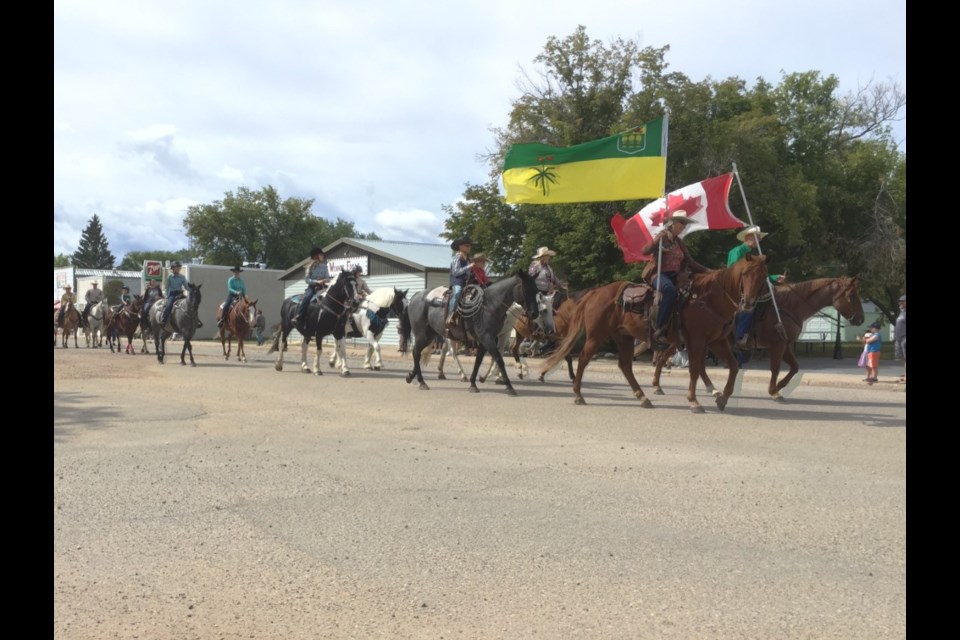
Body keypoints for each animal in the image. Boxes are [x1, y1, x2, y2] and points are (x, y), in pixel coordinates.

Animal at [544, 252, 768, 412]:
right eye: (745, 274)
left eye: (763, 277)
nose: (748, 303)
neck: (707, 298)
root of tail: (595, 292)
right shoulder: (697, 341)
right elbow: (695, 369)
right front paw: (694, 401)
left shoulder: (717, 342)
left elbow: (734, 367)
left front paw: (722, 398)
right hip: (596, 336)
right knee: (583, 358)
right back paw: (578, 395)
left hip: (623, 336)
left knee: (625, 365)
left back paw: (643, 397)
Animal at [648, 276, 868, 404]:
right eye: (852, 295)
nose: (860, 319)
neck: (789, 306)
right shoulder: (777, 345)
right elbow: (776, 368)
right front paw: (774, 391)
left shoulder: (786, 345)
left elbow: (795, 367)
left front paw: (780, 387)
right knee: (663, 358)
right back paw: (658, 386)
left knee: (694, 365)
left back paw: (711, 390)